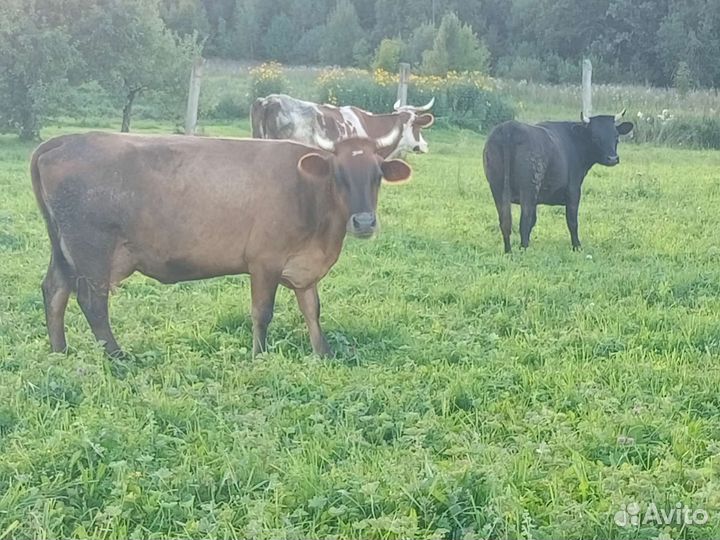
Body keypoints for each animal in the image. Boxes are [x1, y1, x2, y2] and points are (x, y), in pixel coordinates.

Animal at [31, 131, 412, 358]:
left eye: (377, 175)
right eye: (338, 175)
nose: (364, 222)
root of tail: (62, 141)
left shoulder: (303, 268)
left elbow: (312, 310)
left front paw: (323, 353)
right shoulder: (264, 261)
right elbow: (262, 312)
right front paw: (259, 355)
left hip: (64, 250)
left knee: (54, 291)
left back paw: (59, 351)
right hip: (91, 249)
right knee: (92, 302)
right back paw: (117, 356)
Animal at [483, 110, 634, 253]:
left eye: (616, 136)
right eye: (595, 137)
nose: (613, 158)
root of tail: (508, 128)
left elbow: (533, 221)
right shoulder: (573, 191)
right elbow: (572, 221)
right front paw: (577, 246)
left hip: (497, 188)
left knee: (505, 222)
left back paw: (509, 252)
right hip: (528, 189)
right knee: (523, 222)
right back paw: (524, 250)